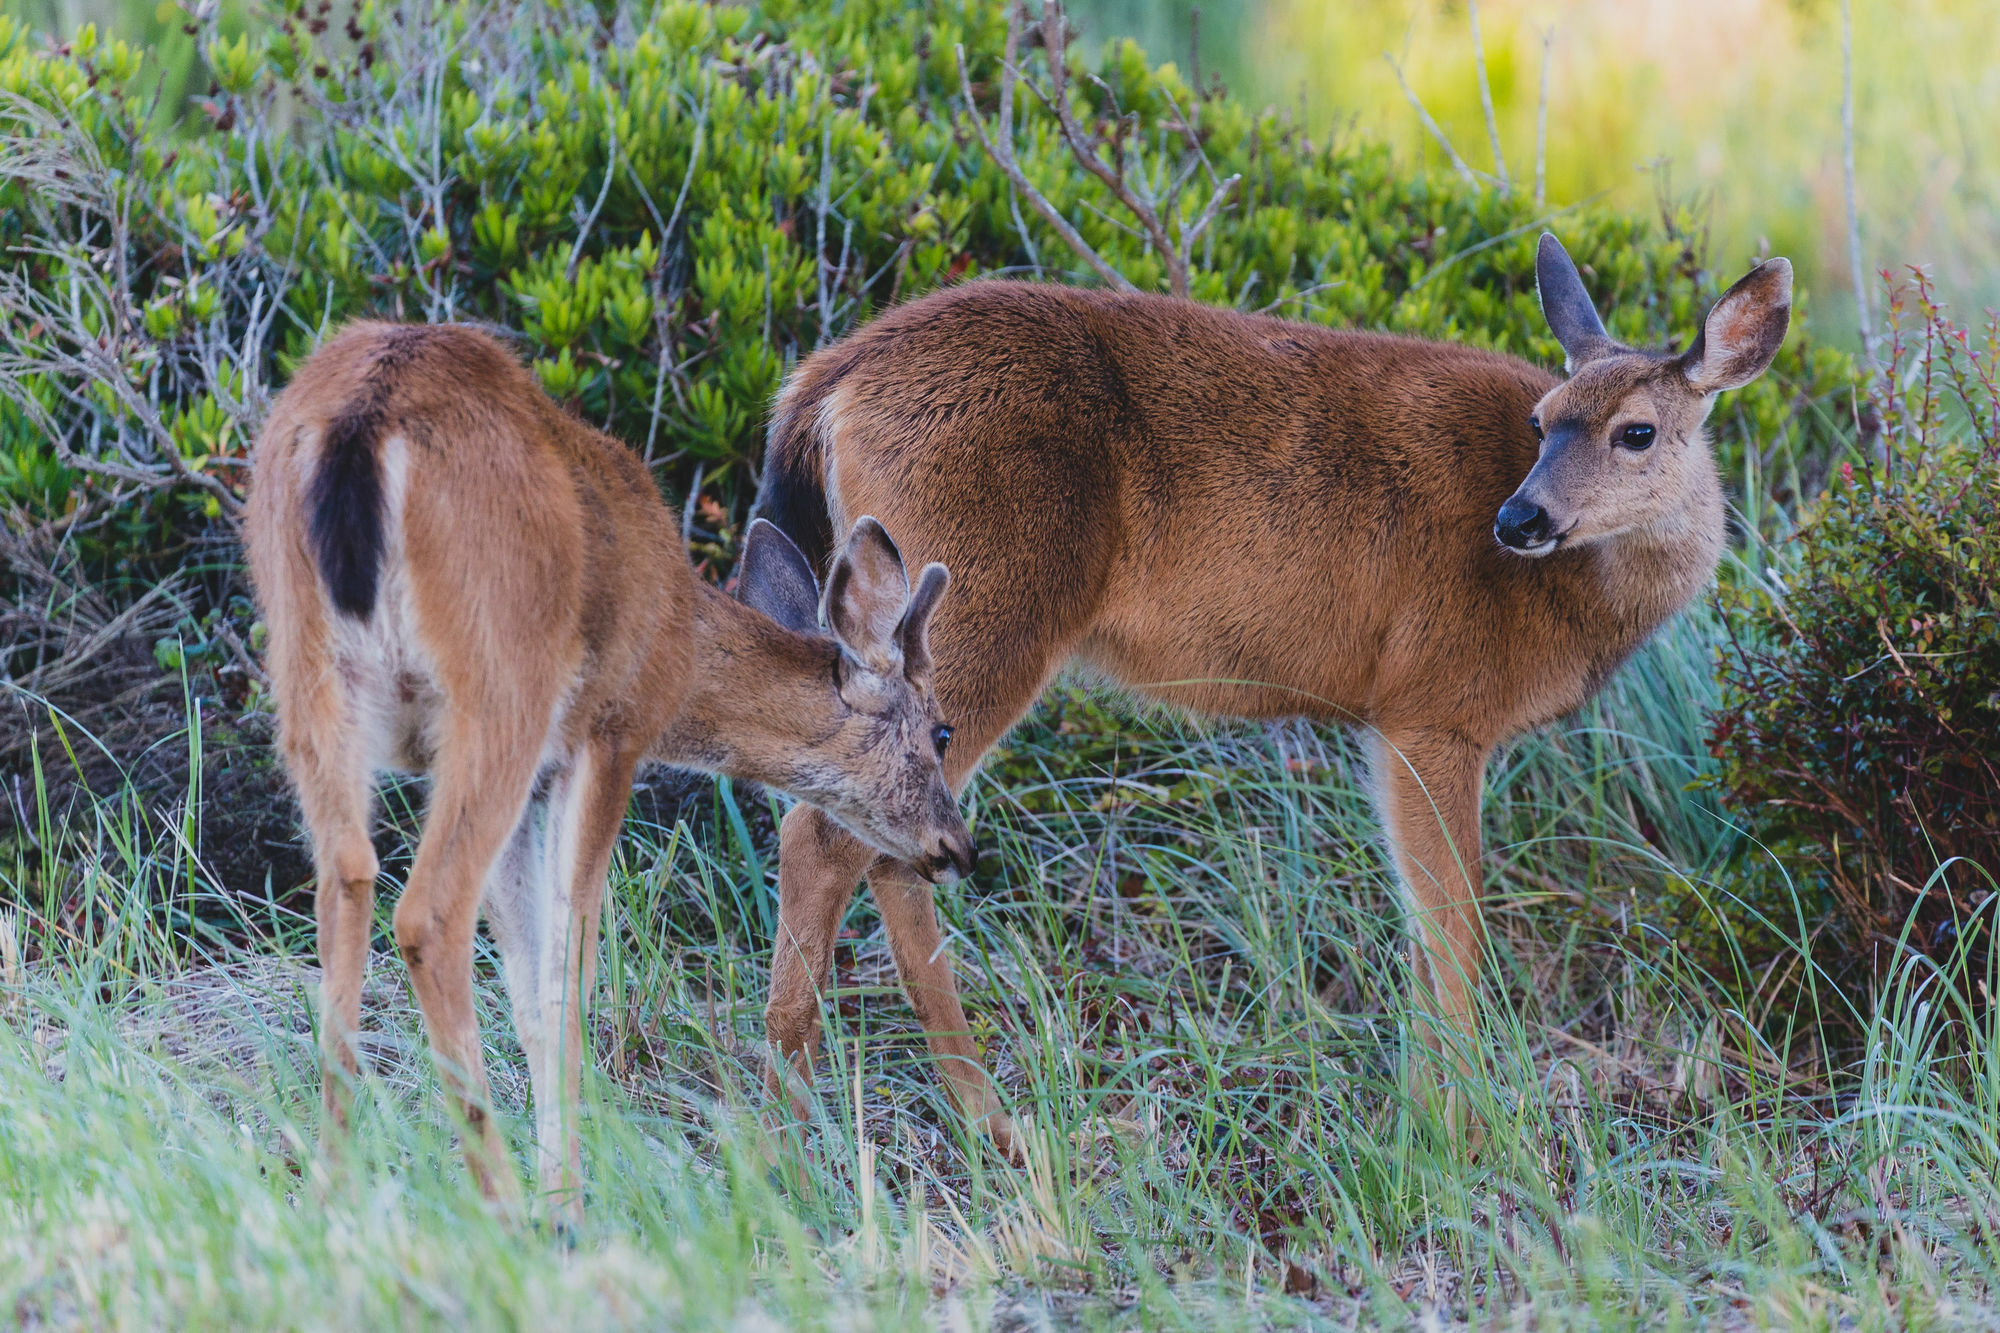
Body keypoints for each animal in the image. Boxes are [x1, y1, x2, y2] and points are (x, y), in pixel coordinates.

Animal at [250, 320, 968, 1216]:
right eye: (942, 730)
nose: (957, 846)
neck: (682, 635)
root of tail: (362, 423)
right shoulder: (611, 730)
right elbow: (569, 971)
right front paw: (566, 1197)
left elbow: (529, 981)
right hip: (500, 684)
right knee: (426, 914)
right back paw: (502, 1203)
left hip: (307, 672)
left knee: (345, 877)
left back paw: (334, 1186)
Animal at [752, 233, 1800, 1144]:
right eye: (1542, 423)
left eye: (1637, 431)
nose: (1520, 517)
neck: (1578, 601)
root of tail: (822, 383)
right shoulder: (1435, 704)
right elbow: (1454, 920)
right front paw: (1466, 1134)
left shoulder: (1389, 721)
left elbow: (1420, 925)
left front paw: (1424, 1116)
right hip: (985, 604)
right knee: (824, 829)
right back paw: (826, 1115)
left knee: (885, 847)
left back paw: (954, 1113)